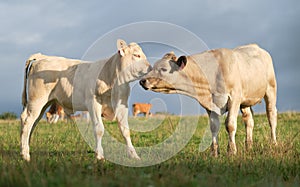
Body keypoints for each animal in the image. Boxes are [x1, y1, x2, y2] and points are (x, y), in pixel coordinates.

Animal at [20, 39, 151, 161]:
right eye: (136, 55)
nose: (150, 68)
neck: (111, 76)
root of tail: (42, 57)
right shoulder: (93, 103)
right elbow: (99, 129)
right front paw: (99, 155)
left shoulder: (121, 104)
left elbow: (125, 130)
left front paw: (133, 155)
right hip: (37, 100)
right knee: (27, 120)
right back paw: (25, 154)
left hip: (45, 102)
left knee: (33, 122)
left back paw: (25, 148)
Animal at [140, 44, 276, 156]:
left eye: (163, 69)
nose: (142, 81)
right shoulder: (210, 105)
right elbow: (214, 127)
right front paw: (214, 153)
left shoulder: (234, 98)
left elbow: (230, 125)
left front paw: (231, 151)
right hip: (245, 102)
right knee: (249, 120)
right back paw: (249, 147)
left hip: (270, 90)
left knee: (271, 116)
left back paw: (273, 143)